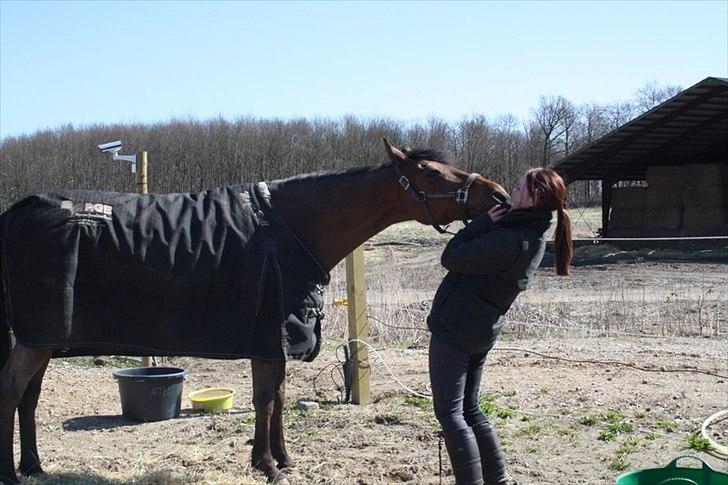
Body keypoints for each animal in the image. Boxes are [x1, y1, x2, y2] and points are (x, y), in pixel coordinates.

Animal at [0, 138, 508, 483]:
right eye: (433, 174)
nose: (499, 194)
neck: (289, 226)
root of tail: (12, 215)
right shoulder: (266, 335)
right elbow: (264, 398)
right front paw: (266, 465)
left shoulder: (278, 337)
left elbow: (278, 397)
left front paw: (281, 458)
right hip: (35, 338)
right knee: (11, 392)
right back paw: (11, 472)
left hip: (41, 338)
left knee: (28, 398)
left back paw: (34, 466)